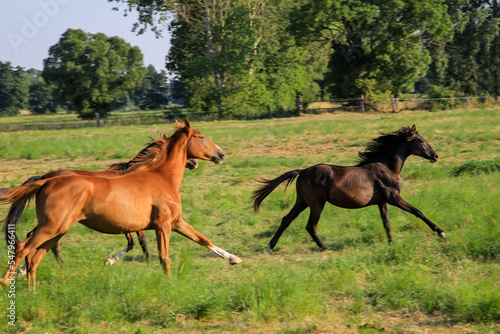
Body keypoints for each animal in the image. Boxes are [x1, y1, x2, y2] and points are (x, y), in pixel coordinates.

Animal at [0, 118, 242, 290]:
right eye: (201, 137)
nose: (221, 154)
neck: (162, 178)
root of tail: (46, 180)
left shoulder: (176, 222)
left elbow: (203, 239)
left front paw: (234, 259)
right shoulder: (162, 226)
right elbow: (163, 257)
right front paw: (169, 283)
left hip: (58, 230)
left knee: (35, 257)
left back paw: (33, 290)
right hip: (51, 227)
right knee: (23, 248)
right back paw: (8, 282)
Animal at [254, 125, 446, 253]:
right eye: (420, 140)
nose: (435, 156)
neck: (387, 168)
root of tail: (302, 172)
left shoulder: (382, 202)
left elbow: (387, 223)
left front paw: (391, 243)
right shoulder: (394, 198)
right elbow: (418, 211)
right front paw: (441, 233)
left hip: (302, 201)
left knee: (286, 220)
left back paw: (270, 247)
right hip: (316, 203)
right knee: (310, 226)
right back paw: (325, 248)